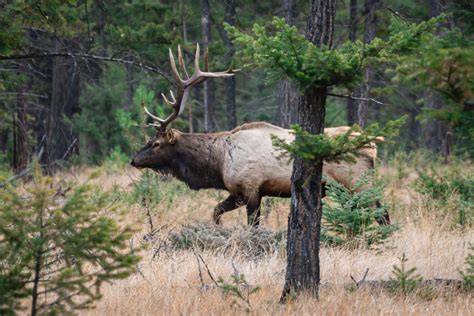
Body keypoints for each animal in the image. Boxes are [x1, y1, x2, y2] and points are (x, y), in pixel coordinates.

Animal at [131, 45, 388, 227]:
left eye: (155, 143)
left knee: (382, 213)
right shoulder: (237, 192)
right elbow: (215, 212)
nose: (133, 159)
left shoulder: (251, 188)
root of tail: (374, 144)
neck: (217, 163)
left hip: (357, 182)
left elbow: (252, 224)